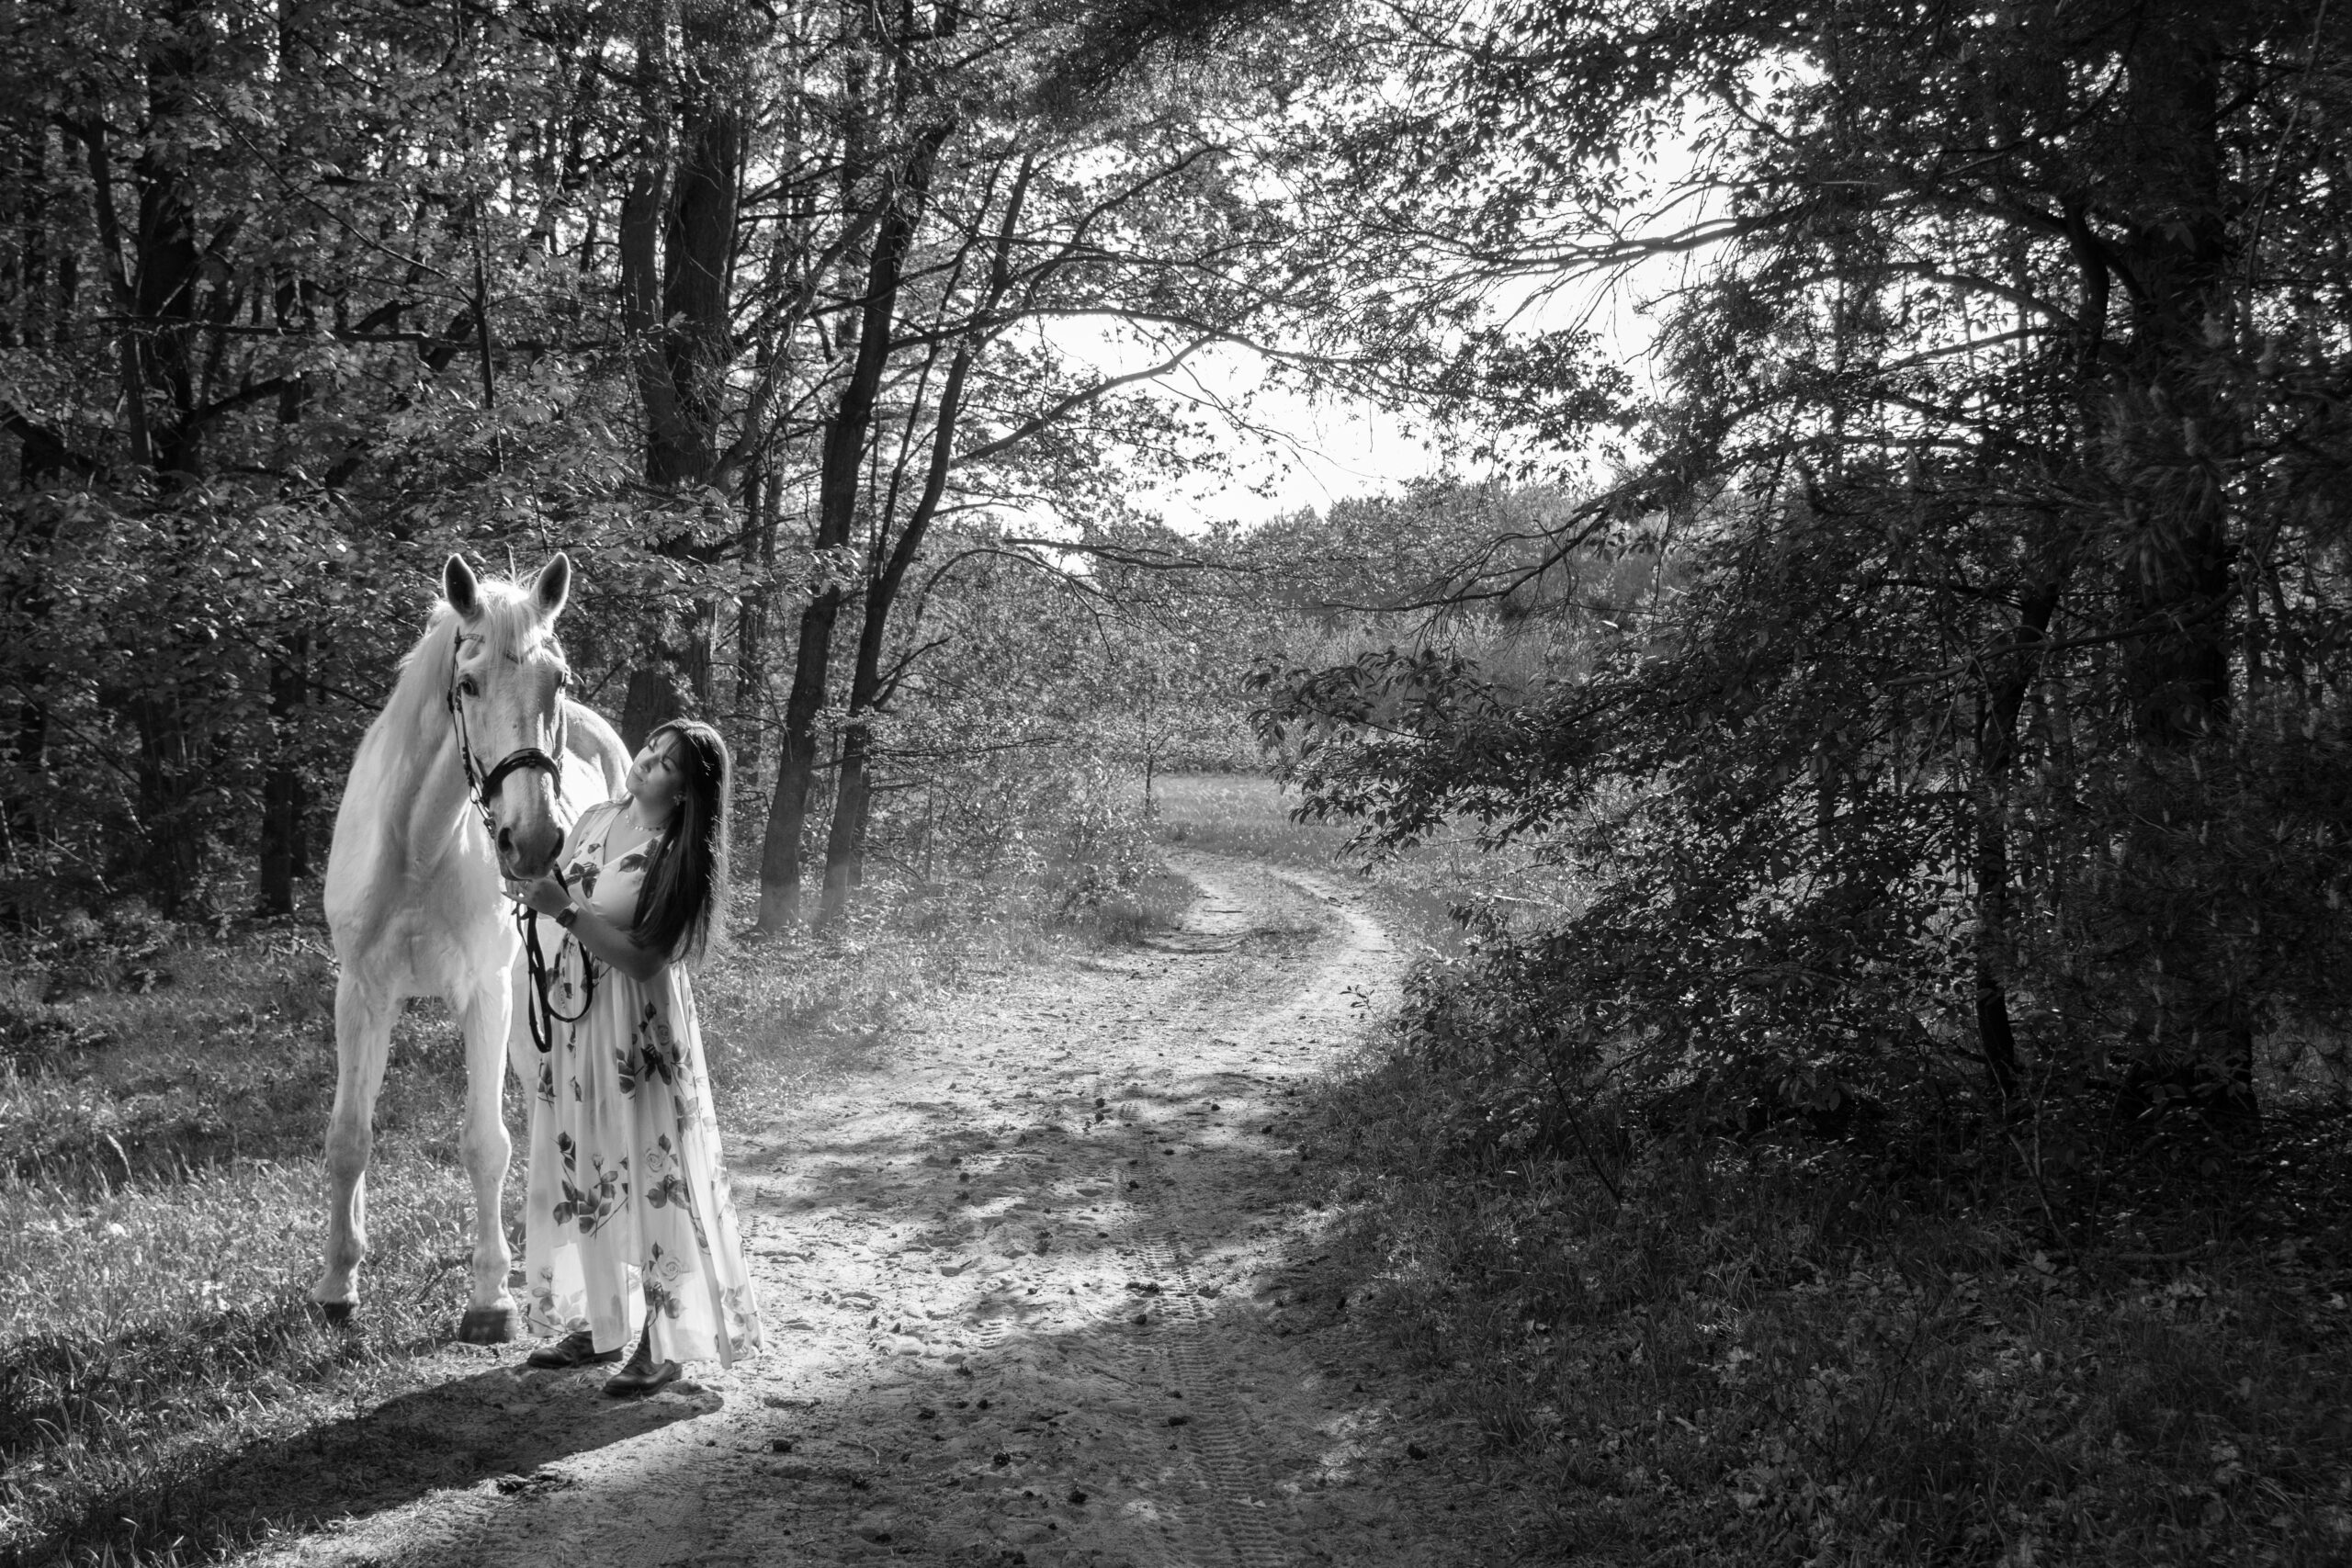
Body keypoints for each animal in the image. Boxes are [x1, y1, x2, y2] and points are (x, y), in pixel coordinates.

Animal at [314, 552, 629, 1340]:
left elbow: (485, 1144)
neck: (417, 850)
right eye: (468, 683)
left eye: (559, 680)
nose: (537, 841)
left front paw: (490, 1299)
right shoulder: (360, 991)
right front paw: (338, 1284)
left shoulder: (483, 992)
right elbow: (348, 1136)